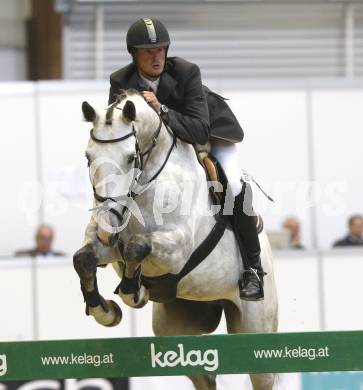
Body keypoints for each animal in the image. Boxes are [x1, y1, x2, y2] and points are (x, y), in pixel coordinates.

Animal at [73, 90, 278, 388]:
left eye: (130, 158)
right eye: (89, 157)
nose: (107, 226)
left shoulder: (178, 247)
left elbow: (137, 247)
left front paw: (135, 292)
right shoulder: (106, 246)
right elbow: (83, 259)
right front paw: (106, 311)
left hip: (256, 327)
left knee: (261, 374)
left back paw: (252, 281)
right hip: (174, 329)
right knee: (202, 374)